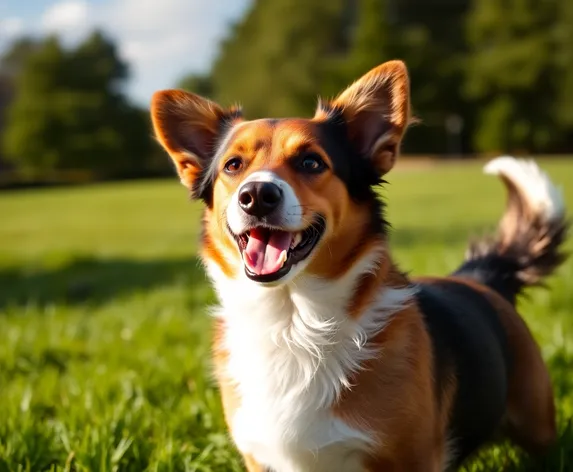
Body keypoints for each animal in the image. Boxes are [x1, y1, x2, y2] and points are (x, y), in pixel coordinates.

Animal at [151, 61, 568, 472]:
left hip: (538, 426)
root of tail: (480, 274)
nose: (256, 195)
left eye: (311, 161)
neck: (294, 322)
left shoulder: (412, 458)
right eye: (233, 165)